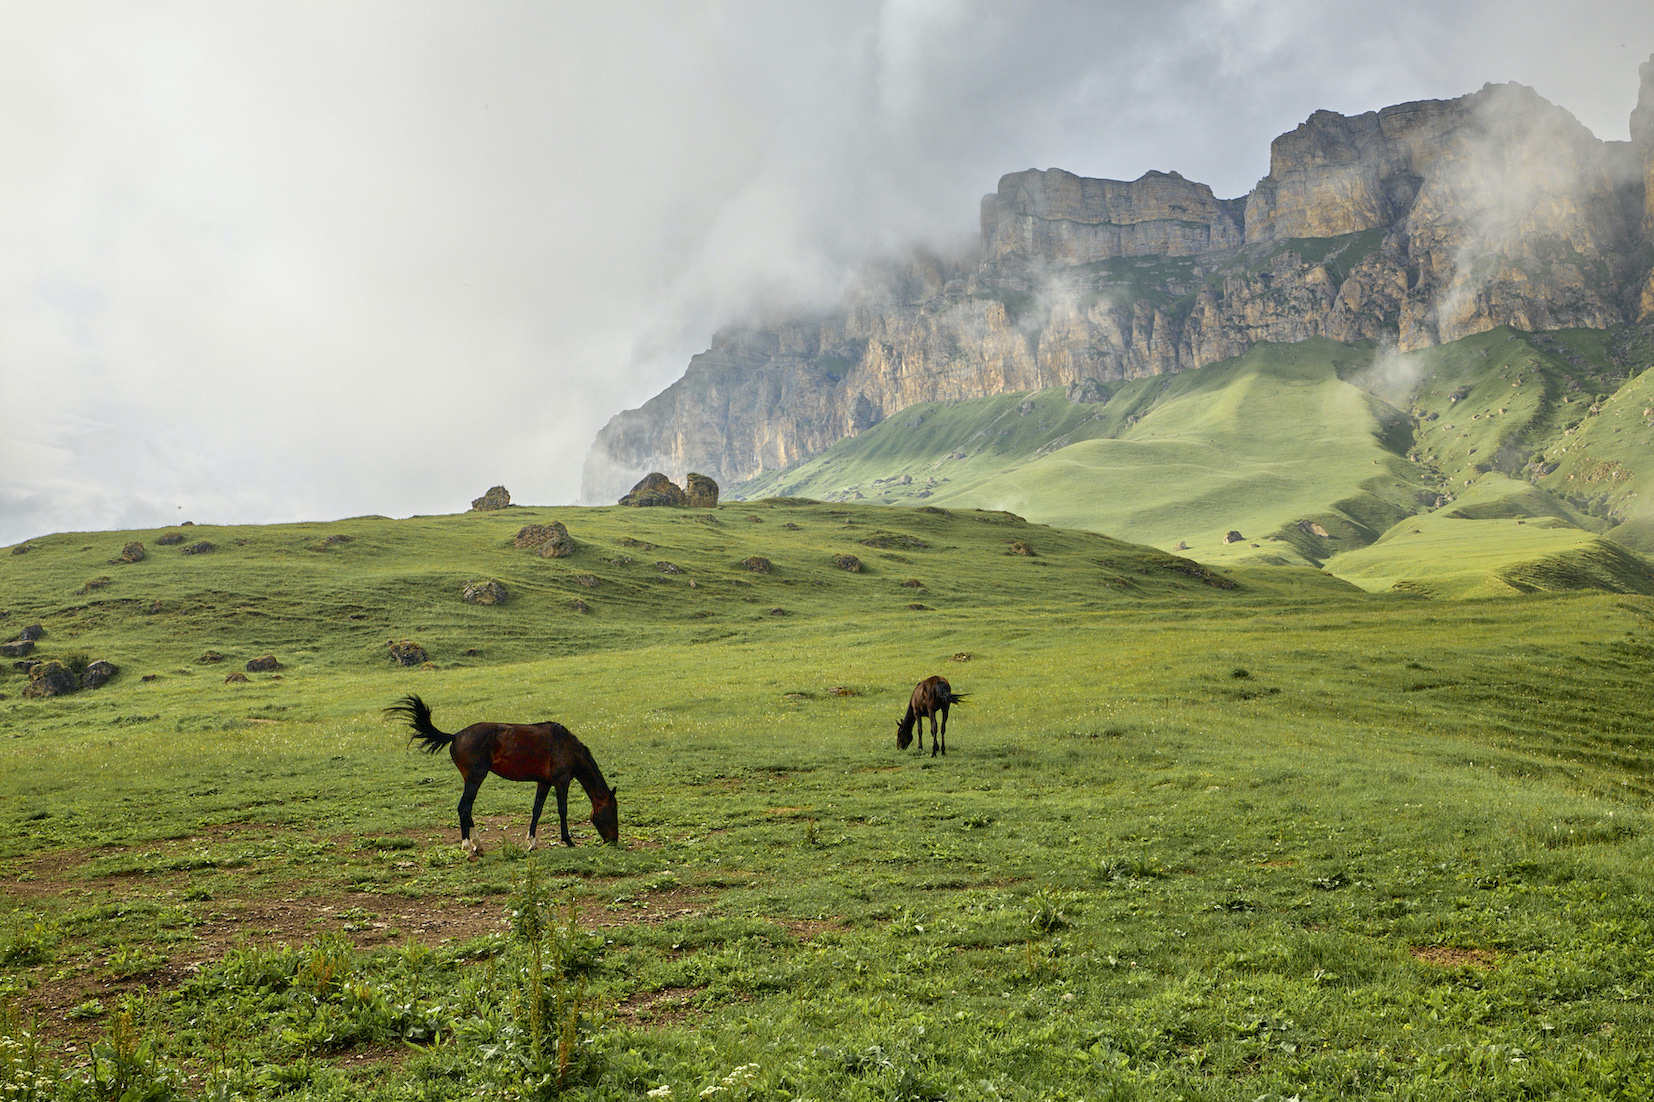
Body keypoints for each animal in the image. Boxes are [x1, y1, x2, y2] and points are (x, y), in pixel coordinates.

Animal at [385, 694, 618, 857]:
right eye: (613, 811)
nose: (614, 840)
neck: (568, 746)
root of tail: (456, 736)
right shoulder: (562, 781)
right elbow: (562, 810)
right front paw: (568, 840)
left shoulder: (543, 782)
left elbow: (537, 810)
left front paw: (532, 843)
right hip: (476, 778)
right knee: (464, 807)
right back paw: (468, 848)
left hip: (471, 779)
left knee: (467, 809)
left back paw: (478, 846)